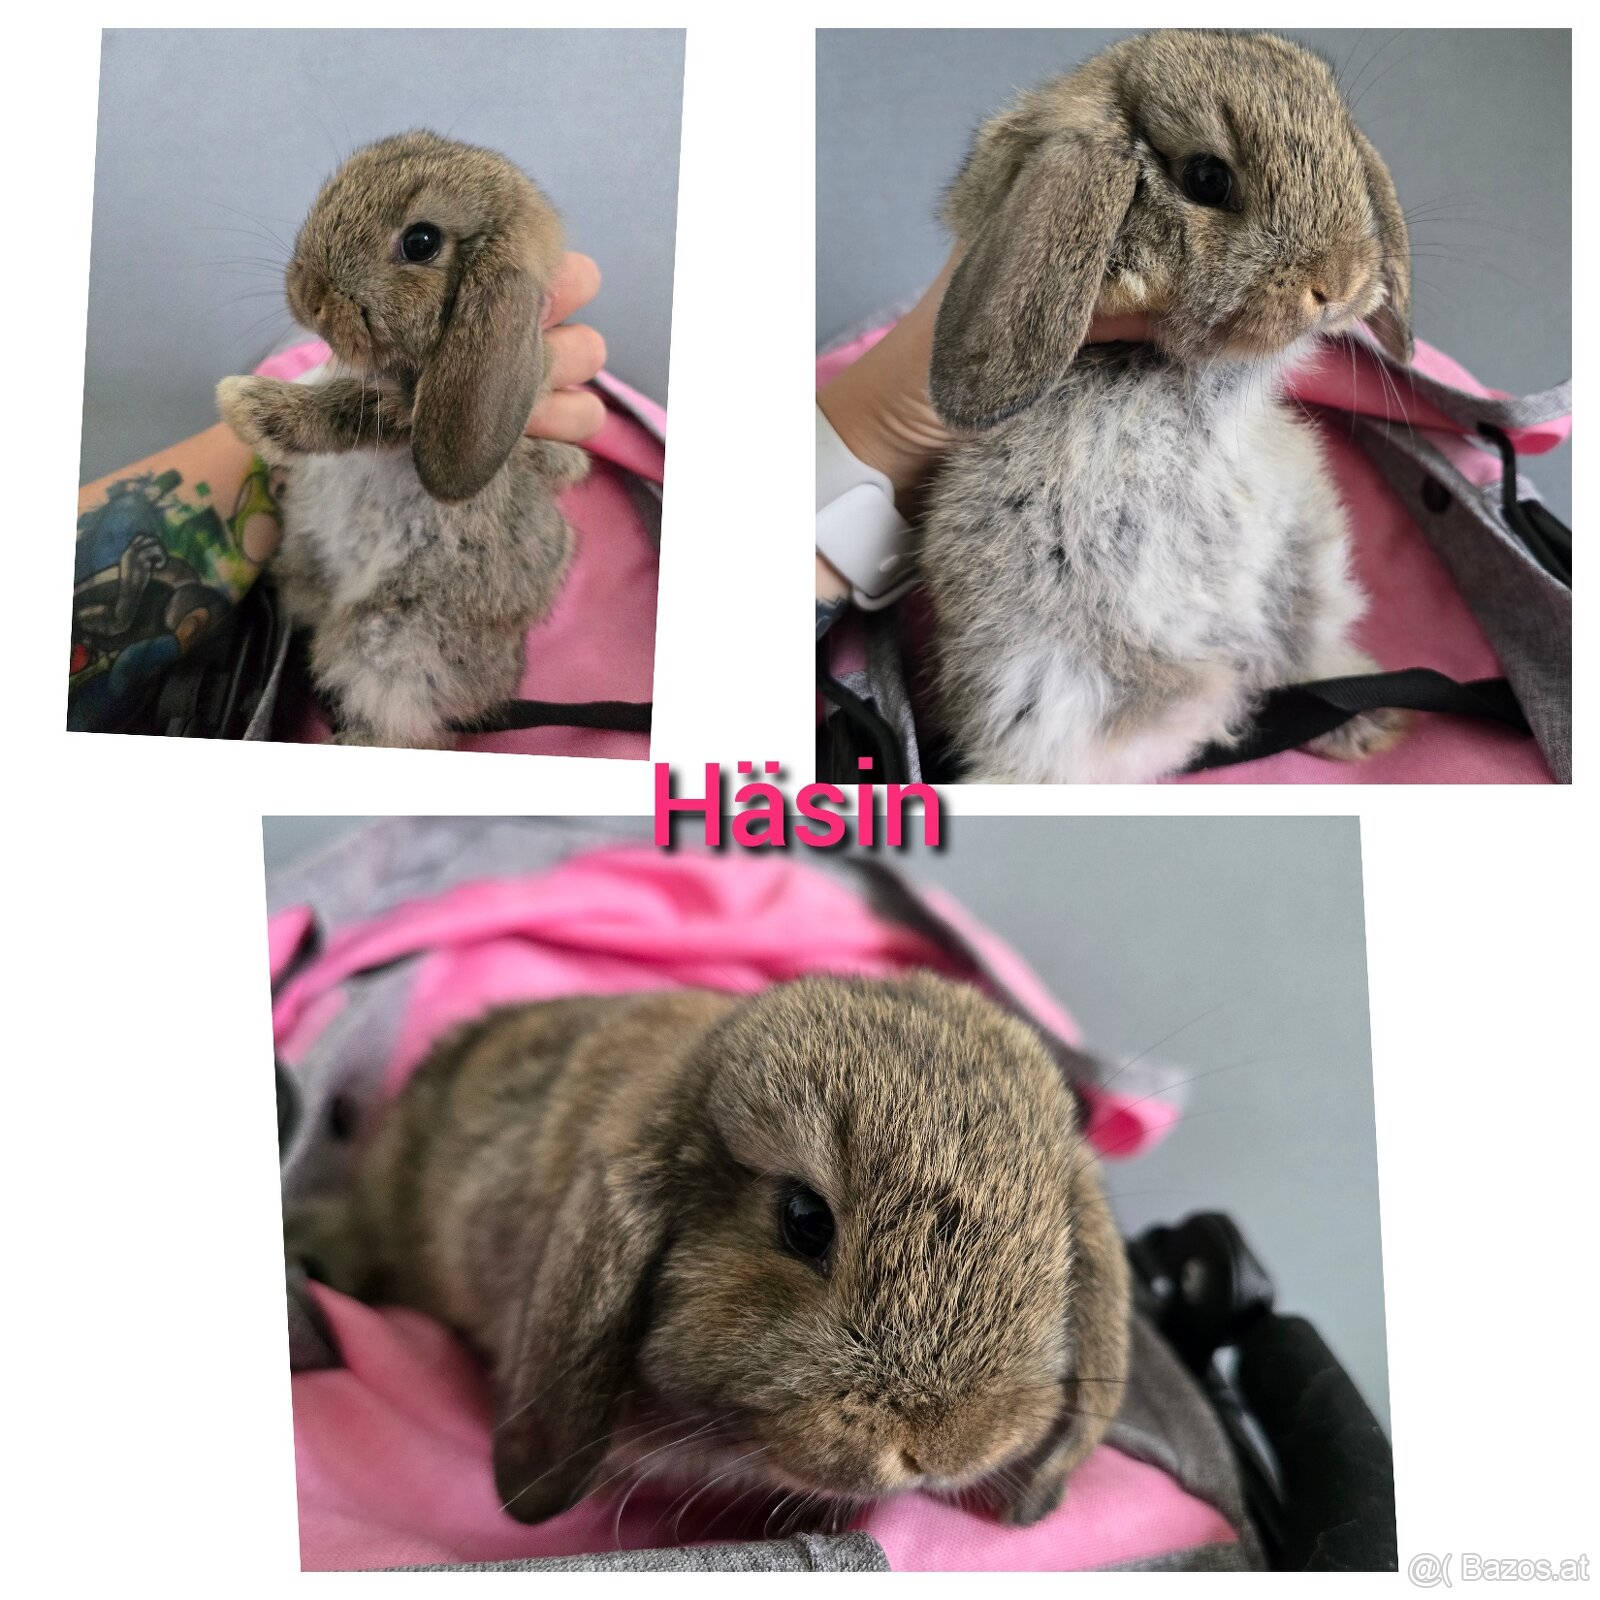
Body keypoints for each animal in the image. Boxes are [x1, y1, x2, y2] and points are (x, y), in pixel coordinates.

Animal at [216, 131, 587, 748]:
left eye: (421, 242)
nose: (307, 294)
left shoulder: (401, 419)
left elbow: (350, 407)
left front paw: (245, 406)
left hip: (390, 649)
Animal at [920, 31, 1414, 783]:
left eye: (1348, 152)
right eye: (1208, 178)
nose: (1341, 280)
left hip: (1306, 573)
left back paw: (1363, 720)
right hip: (1038, 686)